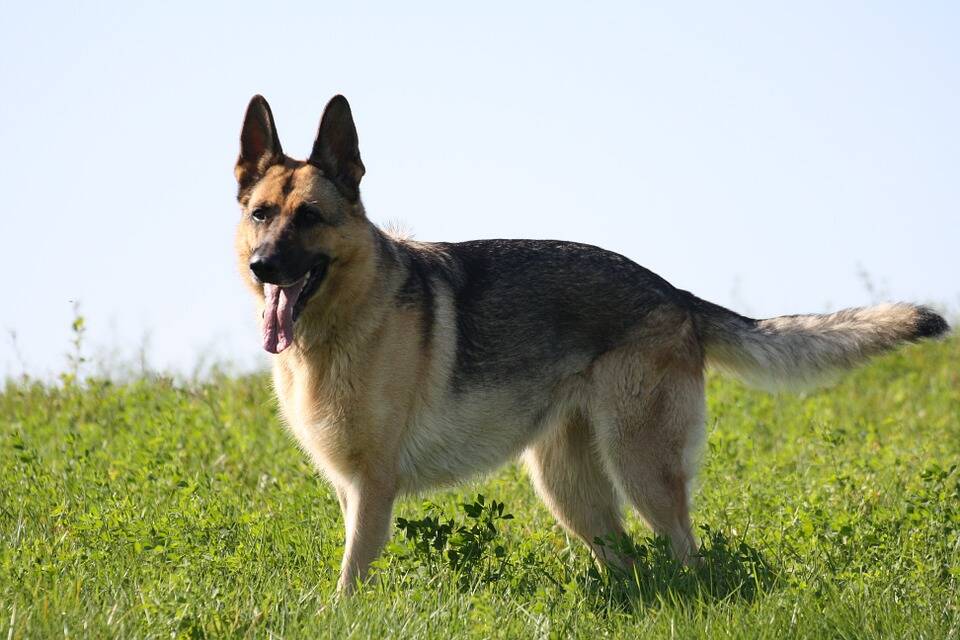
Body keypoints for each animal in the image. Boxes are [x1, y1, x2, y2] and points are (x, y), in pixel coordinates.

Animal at [234, 92, 944, 592]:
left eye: (310, 217)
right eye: (261, 215)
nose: (264, 267)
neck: (344, 319)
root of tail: (675, 294)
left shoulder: (372, 490)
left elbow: (349, 584)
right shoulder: (354, 492)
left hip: (640, 466)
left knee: (690, 559)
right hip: (570, 486)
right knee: (629, 564)